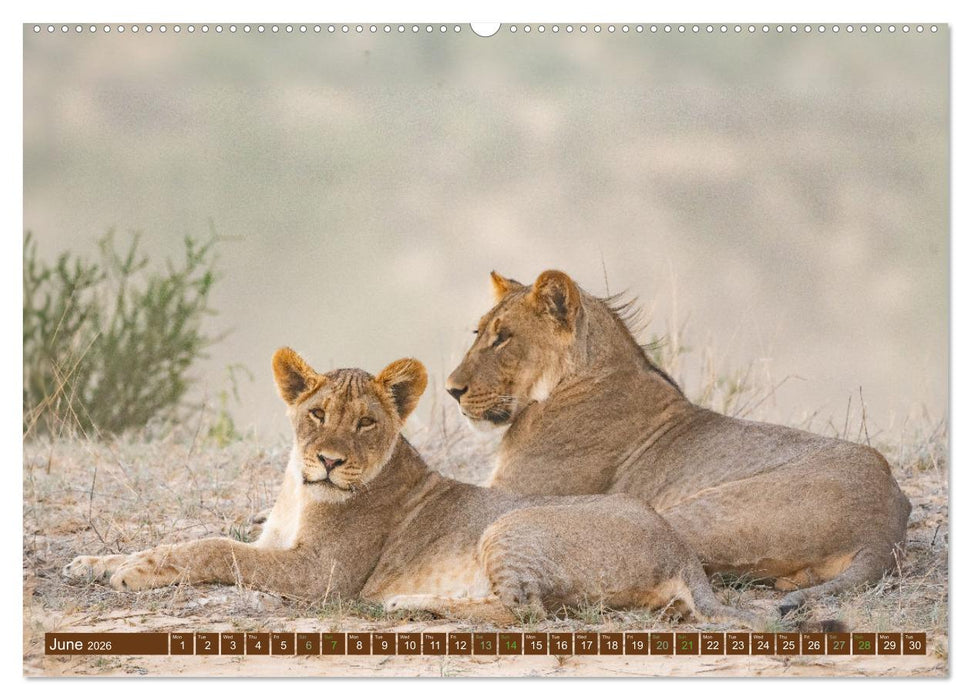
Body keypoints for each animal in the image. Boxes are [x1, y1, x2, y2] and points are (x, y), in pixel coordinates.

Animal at [64, 347, 755, 626]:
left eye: (366, 422)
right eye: (317, 413)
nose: (328, 461)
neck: (299, 490)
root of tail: (680, 548)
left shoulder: (321, 576)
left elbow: (213, 547)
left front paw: (128, 573)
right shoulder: (279, 545)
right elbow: (191, 539)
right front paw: (95, 562)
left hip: (510, 525)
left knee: (525, 611)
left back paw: (407, 604)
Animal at [445, 269, 912, 613]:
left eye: (504, 337)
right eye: (477, 332)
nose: (451, 389)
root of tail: (885, 530)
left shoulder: (509, 493)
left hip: (692, 513)